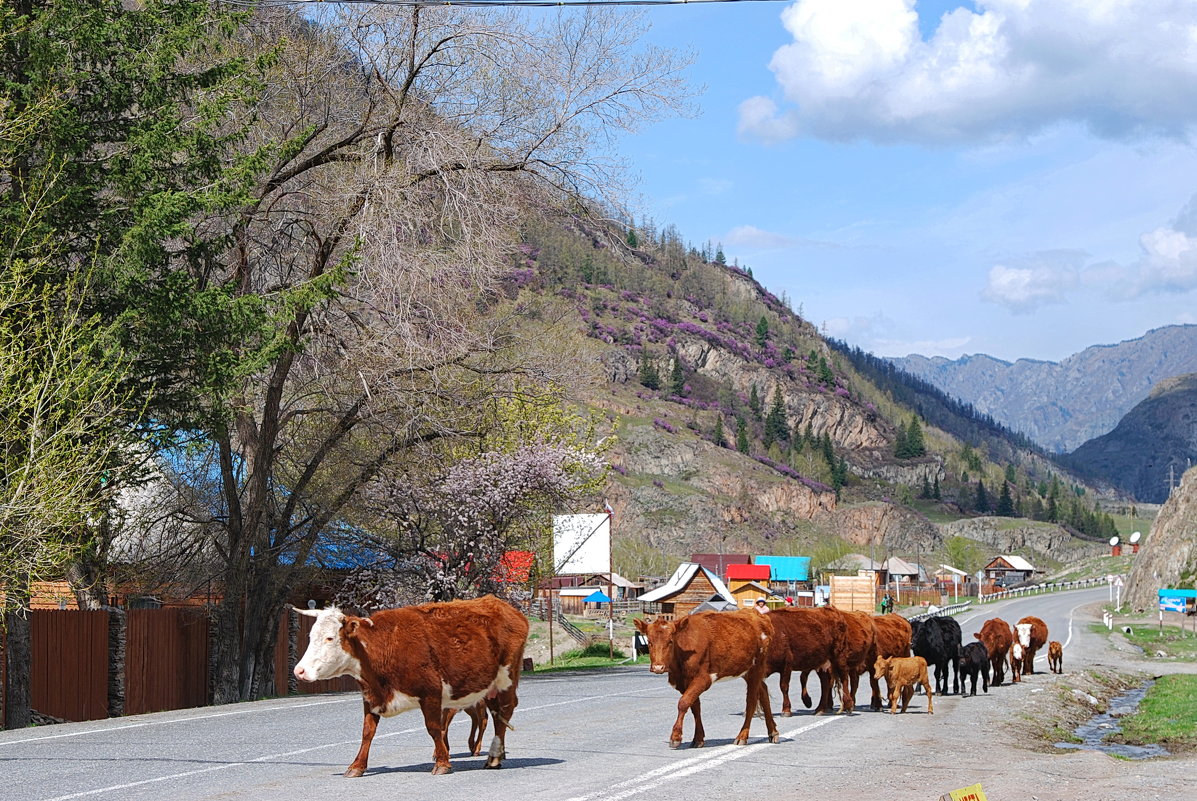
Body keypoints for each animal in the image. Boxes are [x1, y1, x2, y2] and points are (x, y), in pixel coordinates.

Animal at [292, 593, 526, 775]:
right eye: (311, 636)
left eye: (330, 638)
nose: (299, 671)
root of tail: (503, 606)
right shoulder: (371, 696)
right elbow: (367, 732)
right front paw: (356, 766)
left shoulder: (431, 694)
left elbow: (434, 728)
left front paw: (442, 763)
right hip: (489, 688)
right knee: (496, 715)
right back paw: (498, 754)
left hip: (506, 678)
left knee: (505, 711)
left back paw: (493, 757)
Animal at [636, 608, 785, 747]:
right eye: (649, 641)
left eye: (670, 641)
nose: (658, 667)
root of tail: (757, 614)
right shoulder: (684, 682)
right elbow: (695, 707)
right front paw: (698, 738)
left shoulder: (703, 678)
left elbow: (683, 703)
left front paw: (676, 737)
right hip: (747, 671)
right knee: (763, 692)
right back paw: (773, 732)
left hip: (757, 667)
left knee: (752, 701)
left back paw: (742, 736)